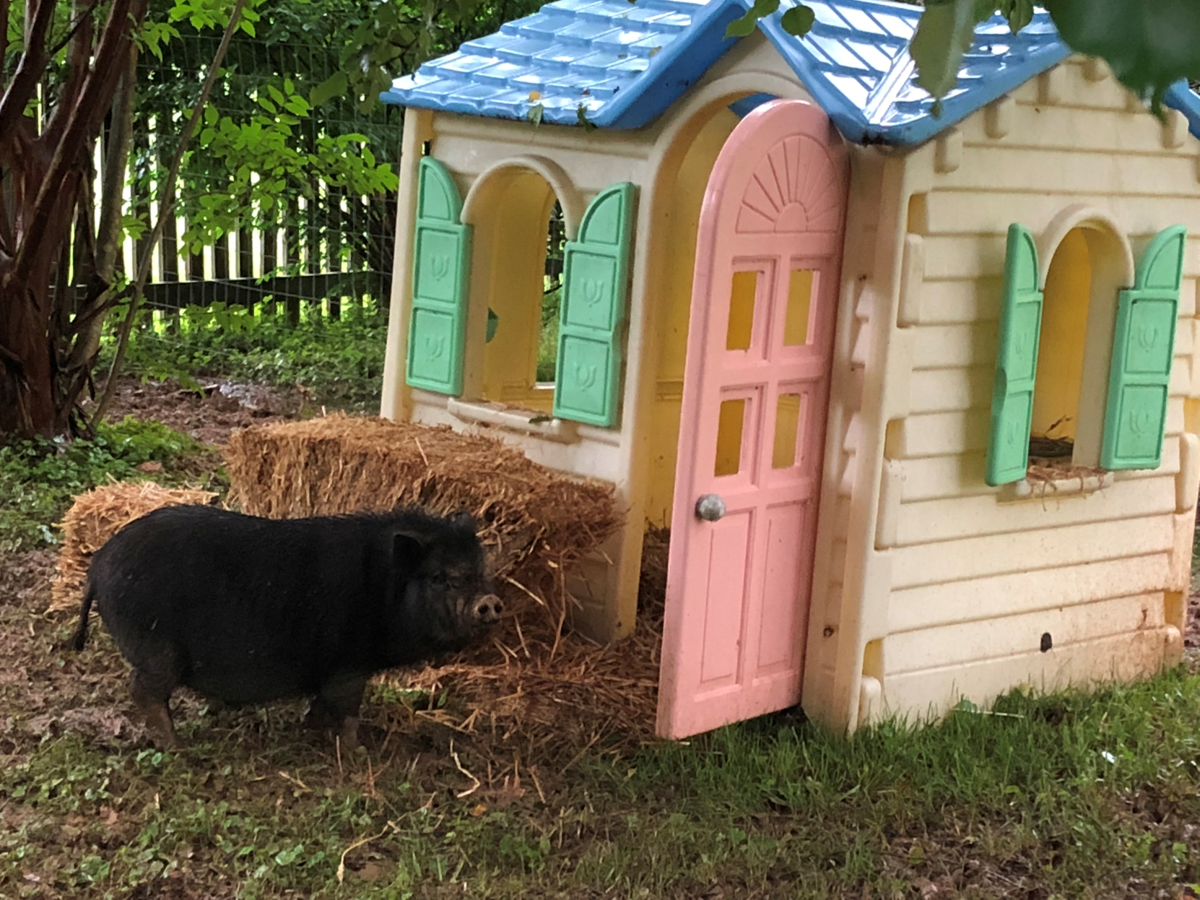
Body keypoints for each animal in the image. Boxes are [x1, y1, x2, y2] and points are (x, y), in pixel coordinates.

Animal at [71, 504, 502, 750]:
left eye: (481, 570)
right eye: (439, 578)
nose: (489, 602)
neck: (383, 588)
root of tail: (98, 565)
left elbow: (321, 703)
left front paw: (311, 729)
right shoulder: (349, 665)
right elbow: (348, 709)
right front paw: (356, 750)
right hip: (155, 647)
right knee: (143, 691)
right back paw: (180, 749)